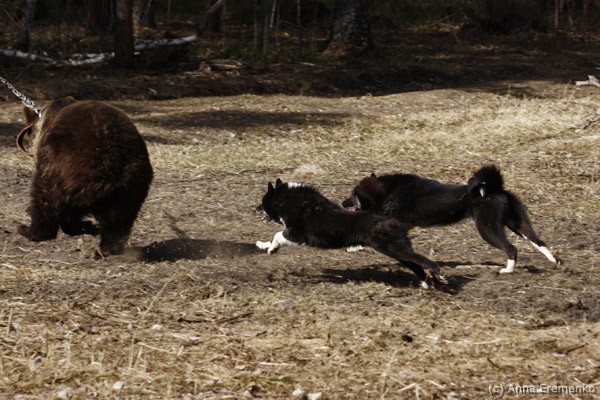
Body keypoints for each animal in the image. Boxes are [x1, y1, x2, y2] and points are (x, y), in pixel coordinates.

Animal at [17, 97, 153, 256]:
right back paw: (106, 247)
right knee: (119, 220)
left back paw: (30, 230)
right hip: (133, 183)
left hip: (64, 171)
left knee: (46, 199)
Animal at [255, 179, 447, 288]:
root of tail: (387, 216)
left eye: (262, 201)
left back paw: (439, 274)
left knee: (422, 260)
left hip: (393, 248)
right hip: (395, 250)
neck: (289, 200)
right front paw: (264, 246)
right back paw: (425, 283)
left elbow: (277, 235)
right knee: (415, 264)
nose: (255, 209)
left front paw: (272, 248)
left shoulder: (296, 235)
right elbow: (271, 238)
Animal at [342, 165, 560, 273]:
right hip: (517, 223)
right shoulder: (404, 224)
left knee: (511, 248)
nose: (343, 203)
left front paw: (353, 247)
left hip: (487, 228)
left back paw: (507, 270)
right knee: (539, 241)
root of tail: (494, 189)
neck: (386, 191)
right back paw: (554, 261)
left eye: (352, 196)